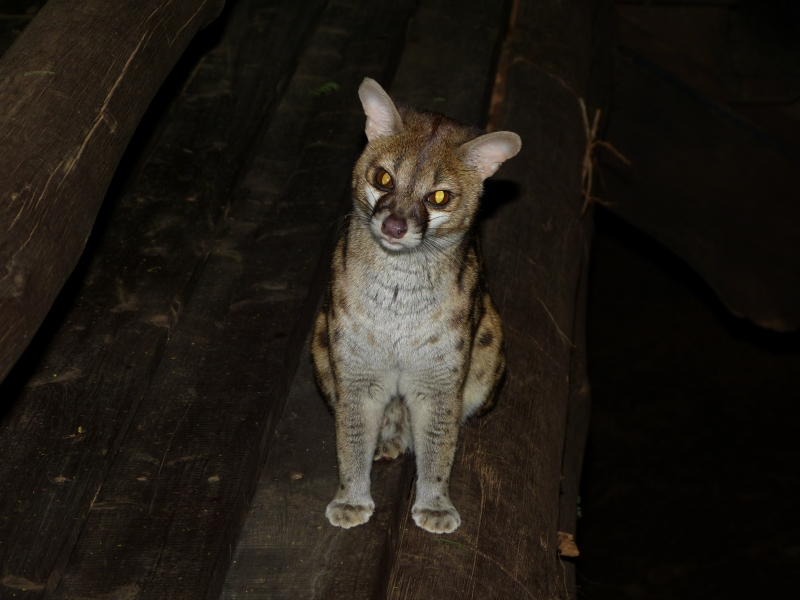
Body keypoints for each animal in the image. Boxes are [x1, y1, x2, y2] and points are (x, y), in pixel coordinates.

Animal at [312, 78, 521, 534]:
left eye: (439, 196)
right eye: (383, 177)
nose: (394, 226)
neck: (398, 294)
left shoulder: (440, 378)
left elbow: (439, 445)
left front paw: (435, 503)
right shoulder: (356, 369)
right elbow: (350, 440)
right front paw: (351, 497)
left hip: (490, 343)